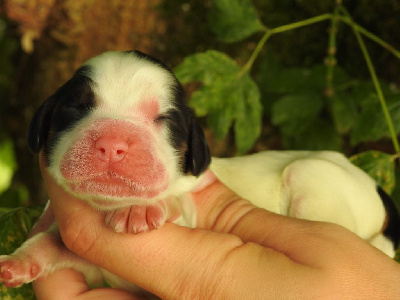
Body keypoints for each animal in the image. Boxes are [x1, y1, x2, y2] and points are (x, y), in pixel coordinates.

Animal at [0, 50, 400, 292]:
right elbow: (49, 243)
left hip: (312, 176)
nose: (113, 144)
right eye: (75, 108)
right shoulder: (91, 264)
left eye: (165, 120)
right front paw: (18, 262)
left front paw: (138, 209)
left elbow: (175, 204)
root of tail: (375, 186)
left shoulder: (191, 208)